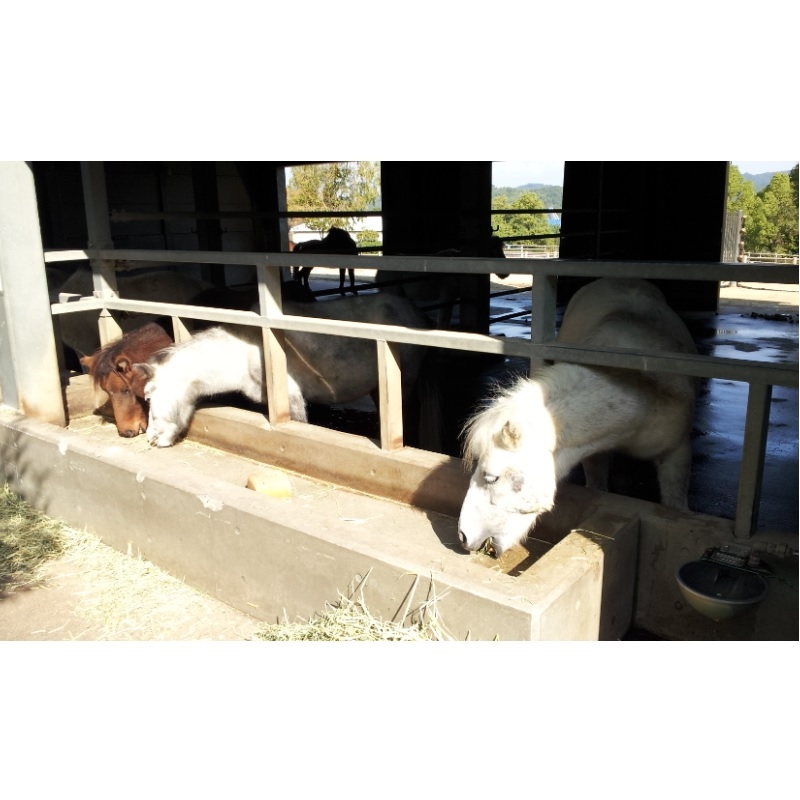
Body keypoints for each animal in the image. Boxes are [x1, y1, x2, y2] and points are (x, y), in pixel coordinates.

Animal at [134, 291, 438, 448]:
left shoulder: (292, 398)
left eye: (148, 396)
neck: (245, 350)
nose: (151, 438)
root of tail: (415, 312)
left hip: (405, 383)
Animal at [457, 278, 697, 557]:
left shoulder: (677, 453)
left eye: (491, 477)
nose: (463, 536)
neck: (644, 390)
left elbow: (675, 505)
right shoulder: (596, 454)